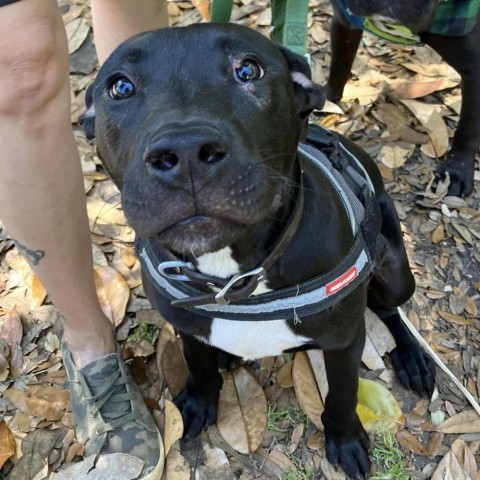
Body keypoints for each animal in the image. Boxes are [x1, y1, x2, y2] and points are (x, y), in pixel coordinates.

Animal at [81, 24, 436, 478]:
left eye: (249, 69)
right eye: (120, 87)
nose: (185, 152)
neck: (236, 279)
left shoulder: (344, 342)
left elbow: (342, 395)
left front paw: (344, 440)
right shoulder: (187, 324)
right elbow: (198, 366)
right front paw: (198, 401)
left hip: (394, 272)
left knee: (389, 308)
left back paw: (412, 358)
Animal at [326, 0, 480, 197]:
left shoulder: (475, 69)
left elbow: (468, 129)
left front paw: (457, 171)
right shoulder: (344, 22)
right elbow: (339, 65)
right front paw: (326, 100)